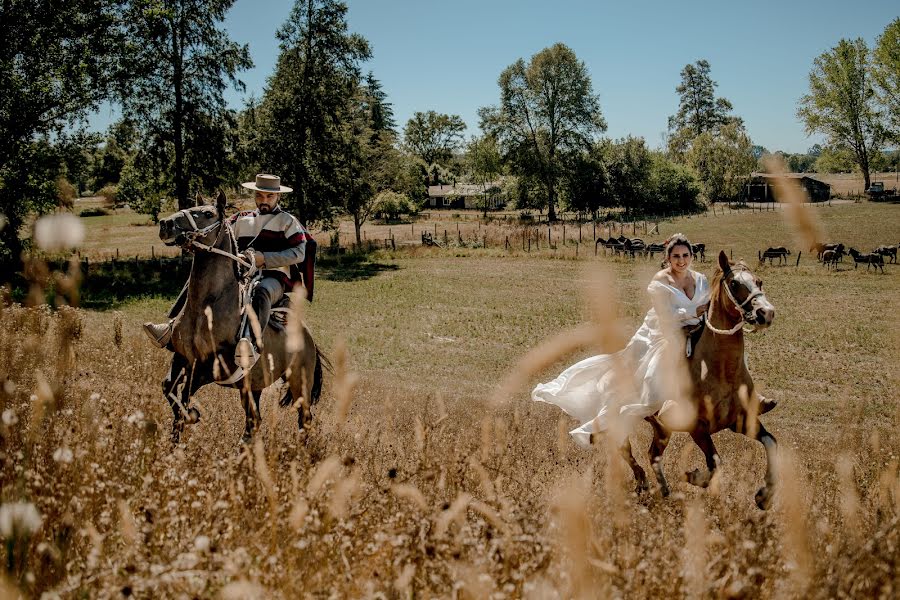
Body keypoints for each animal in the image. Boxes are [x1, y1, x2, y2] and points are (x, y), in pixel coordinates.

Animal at [157, 195, 326, 442]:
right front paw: (175, 440)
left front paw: (192, 415)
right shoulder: (182, 358)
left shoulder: (212, 367)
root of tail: (310, 339)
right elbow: (169, 388)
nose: (165, 224)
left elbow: (185, 394)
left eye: (207, 213)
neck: (206, 310)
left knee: (304, 419)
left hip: (299, 382)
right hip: (253, 386)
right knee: (253, 421)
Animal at [624, 251, 776, 508]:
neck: (722, 371)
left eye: (759, 281)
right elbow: (715, 462)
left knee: (653, 455)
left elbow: (771, 443)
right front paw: (693, 477)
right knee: (623, 448)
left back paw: (664, 491)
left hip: (661, 428)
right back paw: (642, 483)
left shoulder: (742, 420)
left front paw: (764, 496)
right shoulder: (697, 428)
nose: (766, 313)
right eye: (734, 283)